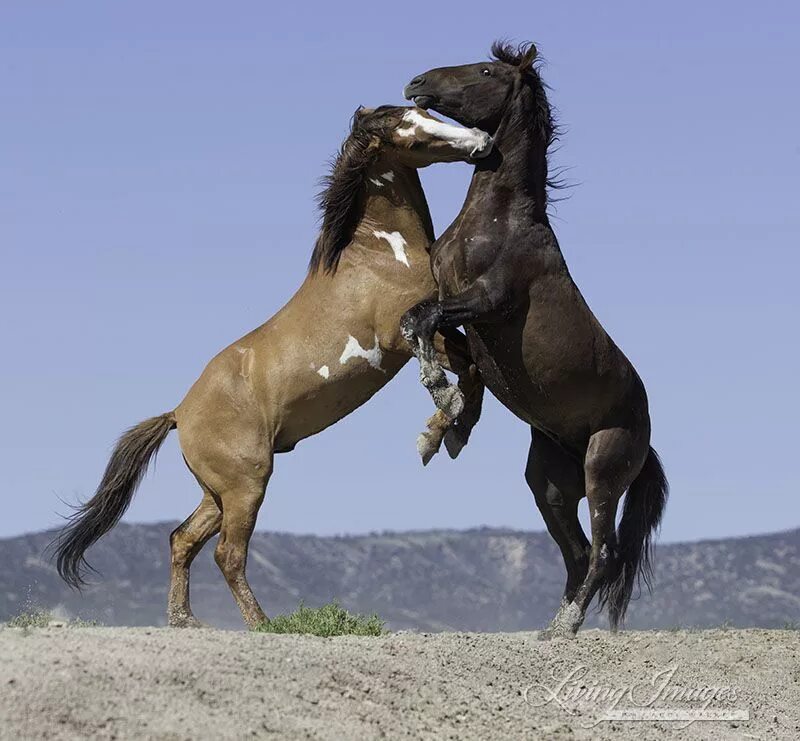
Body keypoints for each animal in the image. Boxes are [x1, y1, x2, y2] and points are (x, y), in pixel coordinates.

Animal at [53, 104, 490, 624]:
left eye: (427, 112)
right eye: (413, 134)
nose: (482, 140)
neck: (381, 254)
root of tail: (179, 413)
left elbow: (475, 368)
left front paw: (447, 432)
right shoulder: (403, 336)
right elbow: (465, 369)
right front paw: (440, 428)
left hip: (217, 493)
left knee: (182, 540)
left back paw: (186, 620)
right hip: (247, 484)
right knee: (227, 554)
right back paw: (262, 625)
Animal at [400, 43, 668, 640]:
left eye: (486, 71)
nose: (416, 82)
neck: (498, 221)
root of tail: (645, 438)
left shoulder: (487, 302)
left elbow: (423, 323)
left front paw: (441, 400)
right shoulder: (461, 311)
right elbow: (431, 334)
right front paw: (445, 428)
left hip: (602, 470)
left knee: (603, 552)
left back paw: (565, 628)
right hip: (546, 481)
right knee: (577, 552)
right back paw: (551, 628)